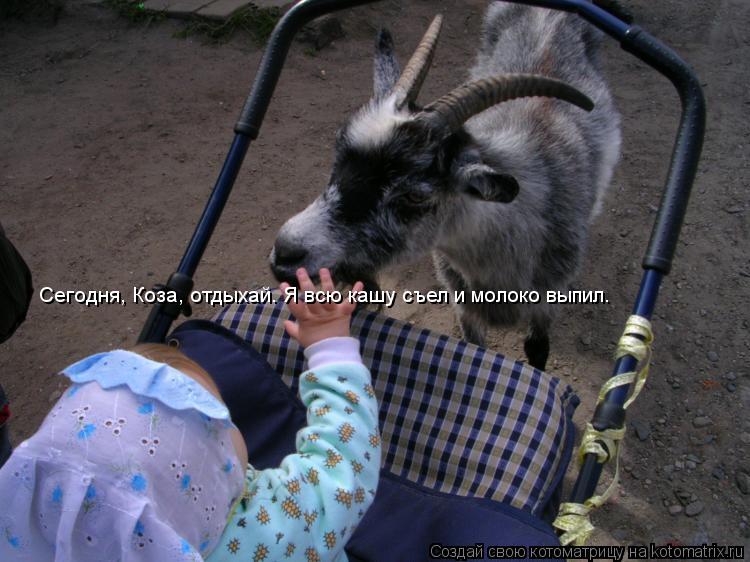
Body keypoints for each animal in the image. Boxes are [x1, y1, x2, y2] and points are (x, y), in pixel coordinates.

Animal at [270, 3, 621, 371]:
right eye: (339, 154)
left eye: (415, 195)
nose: (286, 253)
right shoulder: (463, 305)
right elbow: (475, 349)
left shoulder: (547, 302)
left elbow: (537, 351)